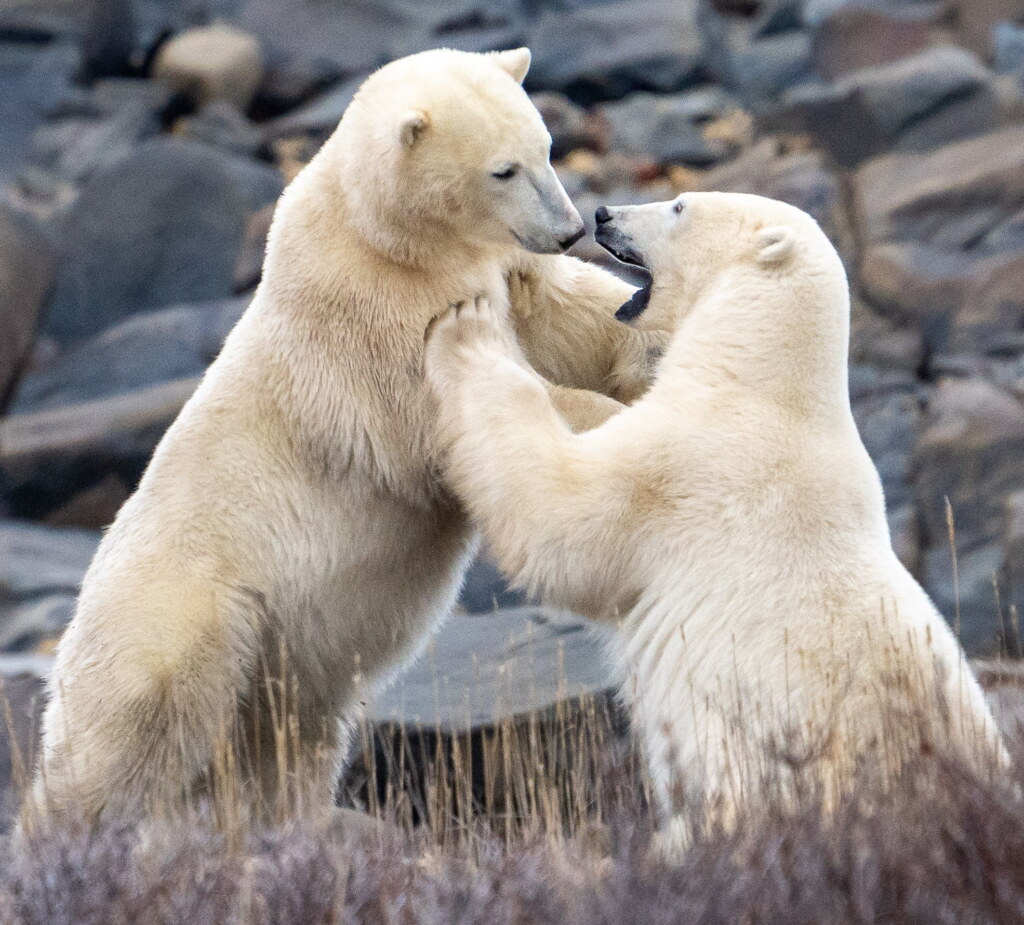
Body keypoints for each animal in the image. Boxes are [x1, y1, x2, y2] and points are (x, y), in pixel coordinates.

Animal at [29, 47, 662, 829]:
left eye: (546, 147)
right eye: (502, 170)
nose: (571, 228)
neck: (381, 233)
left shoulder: (500, 268)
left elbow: (571, 316)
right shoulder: (373, 320)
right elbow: (459, 409)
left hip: (274, 662)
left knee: (284, 745)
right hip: (178, 612)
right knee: (122, 735)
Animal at [423, 191, 1009, 849]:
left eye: (679, 206)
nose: (603, 214)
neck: (760, 380)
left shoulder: (686, 465)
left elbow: (562, 520)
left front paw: (469, 326)